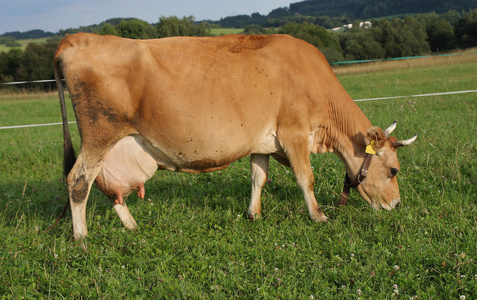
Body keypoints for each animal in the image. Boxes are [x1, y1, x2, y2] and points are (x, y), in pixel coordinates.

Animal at [54, 33, 414, 239]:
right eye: (393, 170)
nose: (397, 205)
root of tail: (75, 37)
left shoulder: (262, 141)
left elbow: (258, 177)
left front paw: (253, 214)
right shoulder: (294, 133)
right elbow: (305, 178)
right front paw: (319, 216)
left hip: (112, 142)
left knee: (106, 186)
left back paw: (130, 226)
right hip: (99, 133)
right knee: (78, 181)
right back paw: (82, 238)